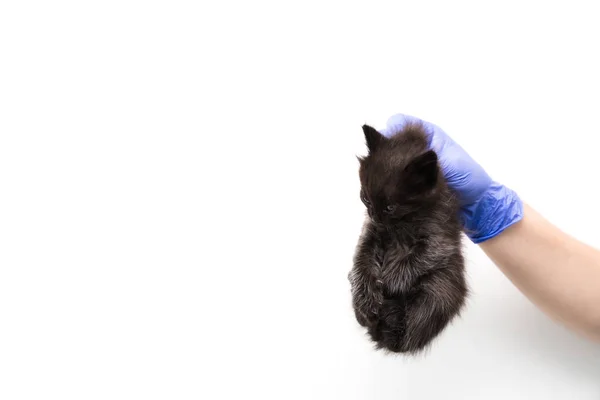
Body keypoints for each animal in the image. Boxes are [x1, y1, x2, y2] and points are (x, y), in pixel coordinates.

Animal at [346, 122, 468, 354]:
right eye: (365, 199)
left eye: (390, 207)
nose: (375, 216)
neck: (401, 224)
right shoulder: (369, 233)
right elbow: (361, 259)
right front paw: (365, 298)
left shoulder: (439, 238)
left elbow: (414, 260)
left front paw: (388, 284)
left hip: (441, 285)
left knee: (410, 332)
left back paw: (391, 319)